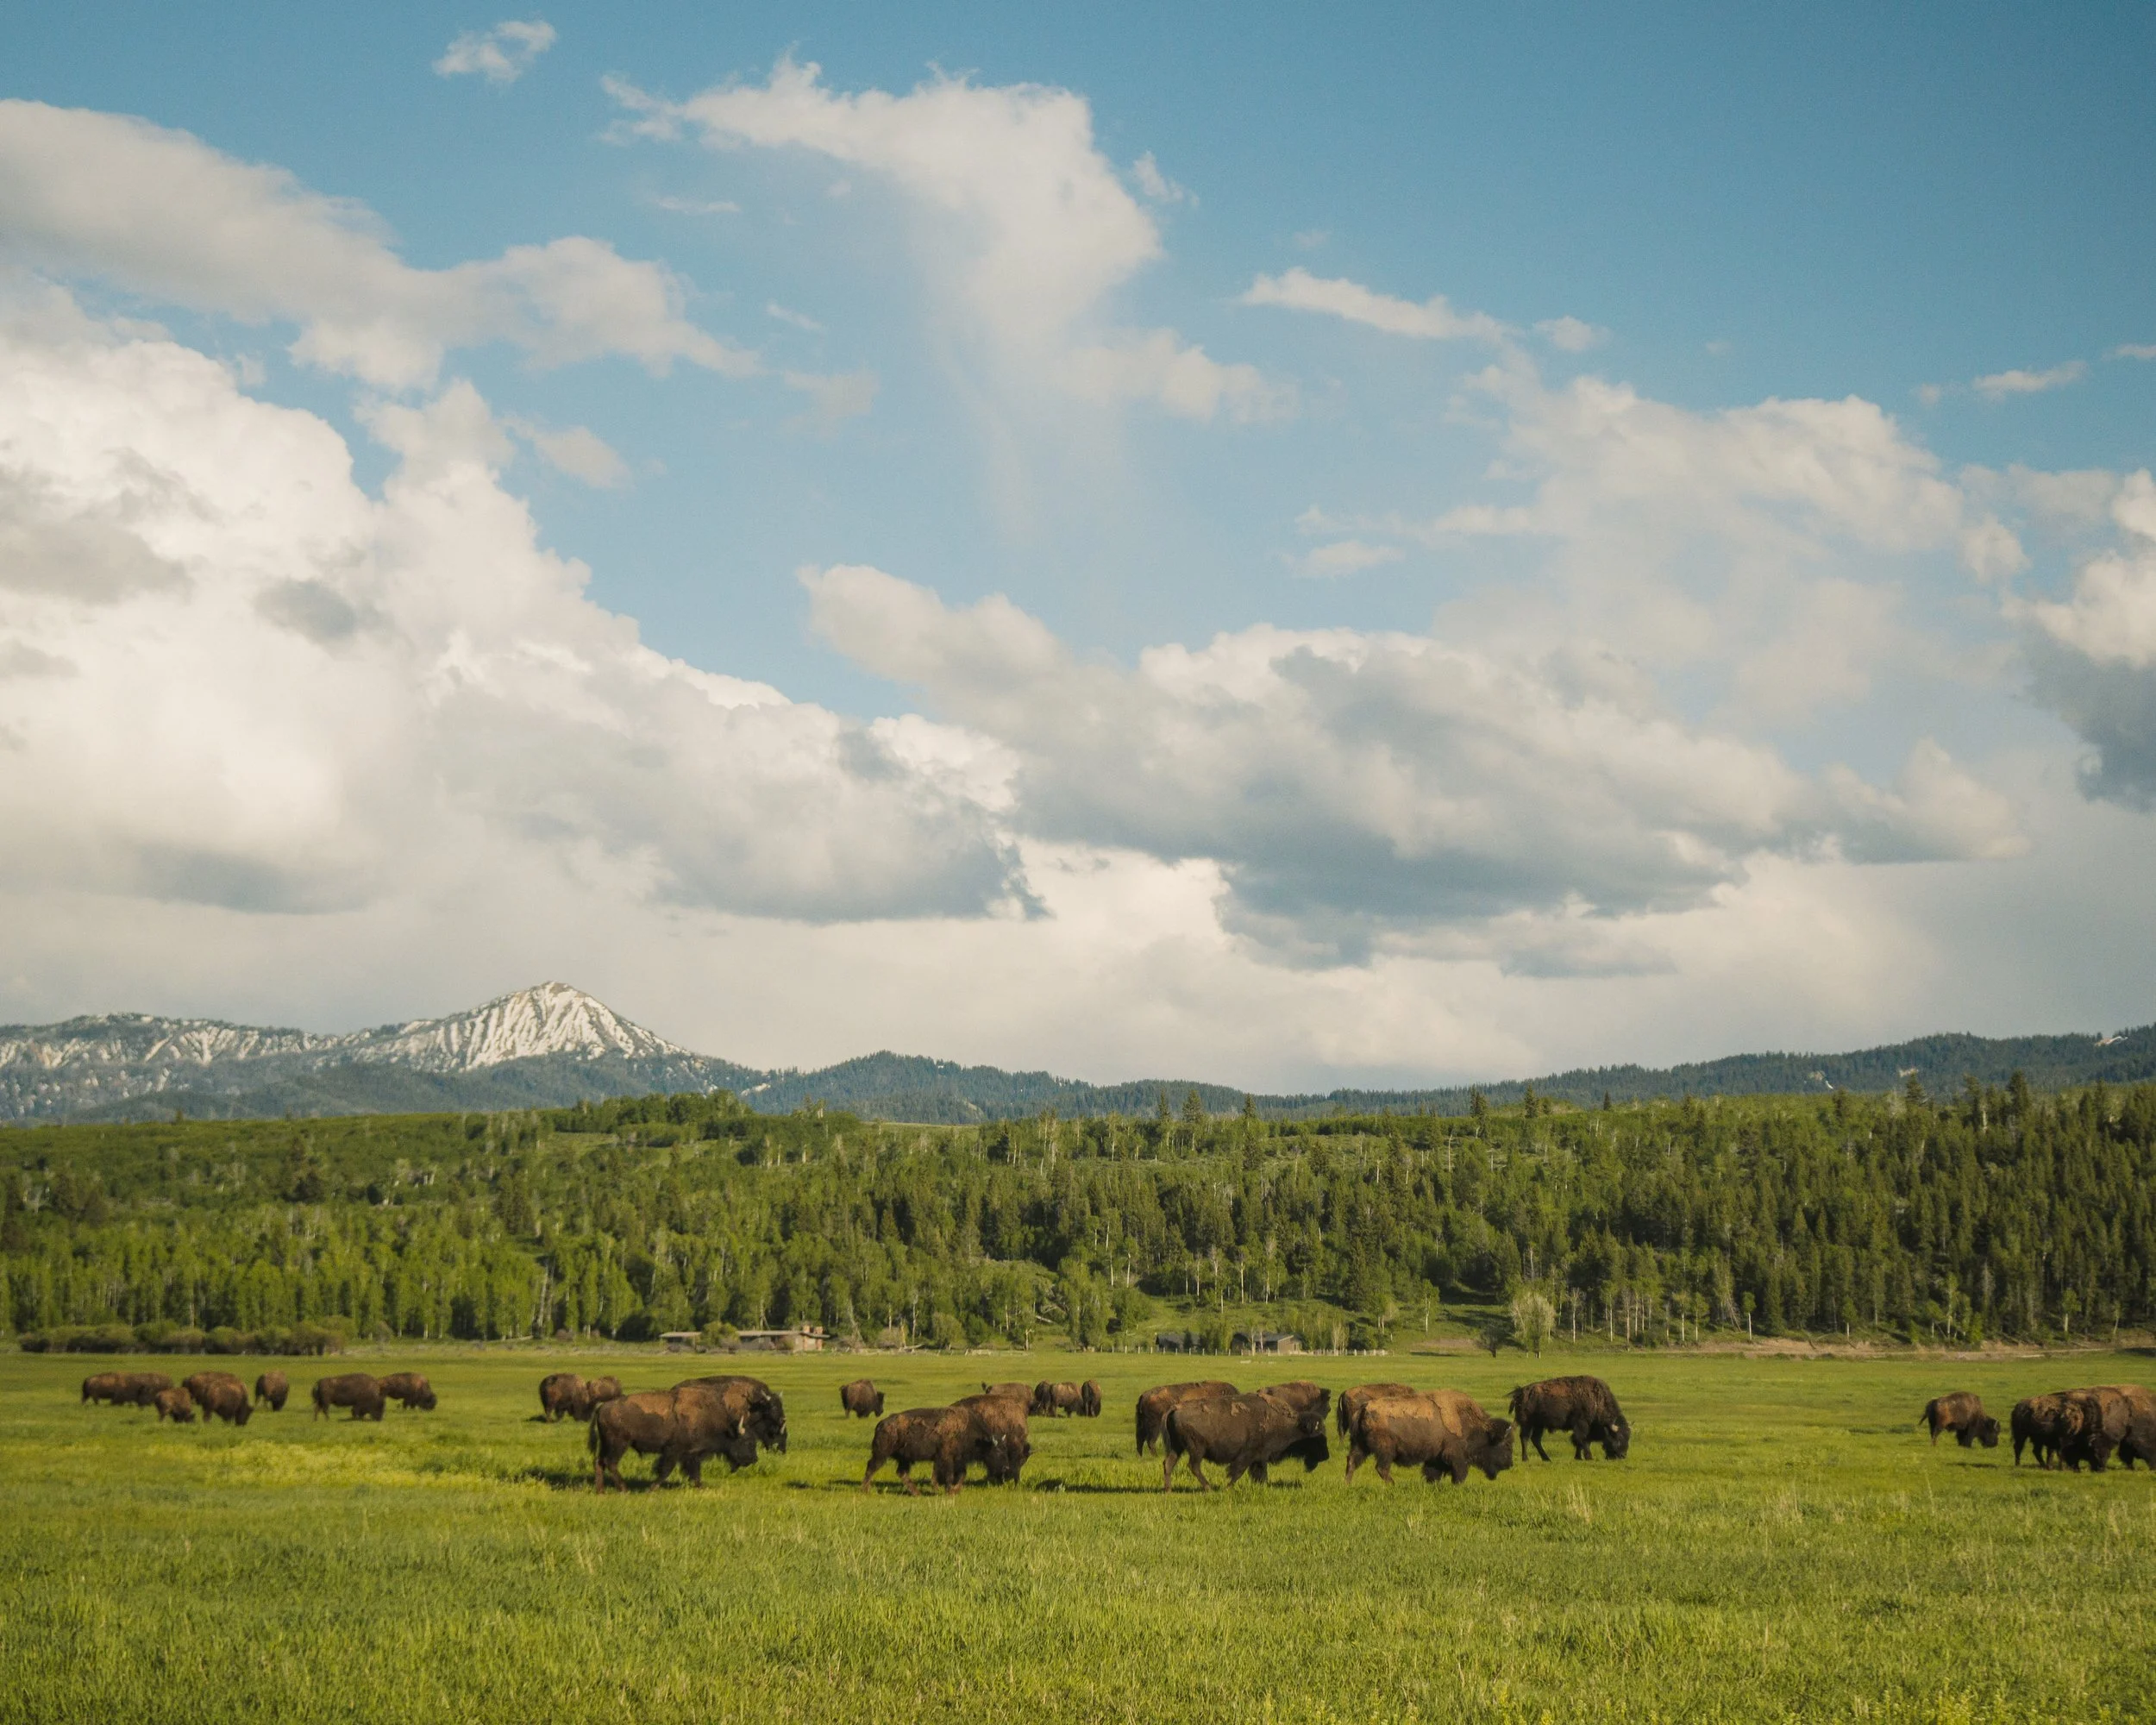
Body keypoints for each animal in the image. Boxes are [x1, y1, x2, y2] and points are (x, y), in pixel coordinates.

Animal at [590, 1385, 761, 1492]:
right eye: (748, 1441)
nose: (754, 1459)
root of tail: (602, 1408)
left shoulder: (692, 1454)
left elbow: (694, 1471)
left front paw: (700, 1486)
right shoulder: (674, 1451)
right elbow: (666, 1470)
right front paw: (651, 1489)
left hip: (607, 1444)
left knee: (599, 1462)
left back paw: (601, 1490)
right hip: (619, 1444)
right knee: (610, 1463)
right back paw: (624, 1489)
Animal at [1161, 1391, 1329, 1491]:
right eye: (1316, 1438)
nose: (1326, 1456)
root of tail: (1176, 1408)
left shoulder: (1260, 1457)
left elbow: (1260, 1473)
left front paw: (1262, 1487)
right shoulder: (1248, 1455)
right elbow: (1238, 1471)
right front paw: (1228, 1488)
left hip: (1178, 1447)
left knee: (1169, 1463)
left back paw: (1169, 1490)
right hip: (1197, 1449)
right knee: (1193, 1466)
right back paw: (1208, 1488)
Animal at [1345, 1389, 1513, 1486]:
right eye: (1506, 1445)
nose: (1510, 1464)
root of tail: (1364, 1408)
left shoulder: (1436, 1457)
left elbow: (1432, 1473)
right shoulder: (1456, 1456)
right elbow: (1460, 1474)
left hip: (1360, 1445)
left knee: (1352, 1462)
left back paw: (1347, 1484)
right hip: (1386, 1450)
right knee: (1382, 1468)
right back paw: (1394, 1485)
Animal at [1510, 1375, 1631, 1461]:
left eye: (1628, 1437)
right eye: (1618, 1438)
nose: (1623, 1455)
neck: (1597, 1400)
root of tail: (1521, 1392)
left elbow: (1583, 1442)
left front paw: (1579, 1457)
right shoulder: (1582, 1425)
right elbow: (1581, 1440)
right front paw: (1588, 1457)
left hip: (1539, 1425)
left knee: (1536, 1439)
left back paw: (1547, 1458)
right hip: (1527, 1423)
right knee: (1525, 1438)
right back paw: (1526, 1458)